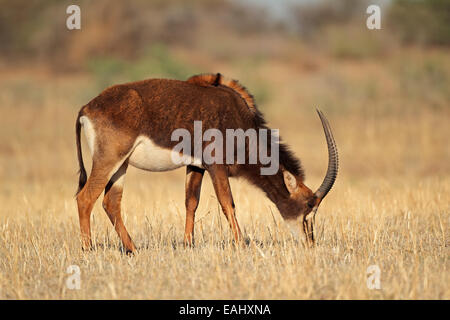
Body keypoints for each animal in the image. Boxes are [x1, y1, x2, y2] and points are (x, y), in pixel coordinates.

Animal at [76, 72, 338, 252]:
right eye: (308, 208)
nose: (310, 243)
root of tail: (87, 107)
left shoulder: (196, 166)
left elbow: (191, 202)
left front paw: (188, 244)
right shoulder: (216, 165)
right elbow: (227, 202)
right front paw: (241, 244)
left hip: (121, 165)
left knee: (111, 202)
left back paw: (133, 249)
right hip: (109, 159)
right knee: (85, 198)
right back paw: (88, 250)